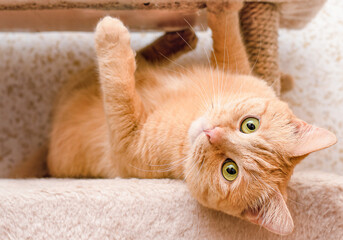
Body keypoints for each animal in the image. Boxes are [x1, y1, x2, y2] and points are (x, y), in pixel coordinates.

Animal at [47, 11, 338, 236]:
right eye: (250, 125)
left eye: (230, 170)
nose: (212, 133)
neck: (189, 115)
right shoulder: (236, 68)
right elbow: (228, 37)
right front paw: (223, 7)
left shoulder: (125, 141)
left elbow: (119, 89)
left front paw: (110, 34)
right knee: (144, 59)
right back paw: (178, 40)